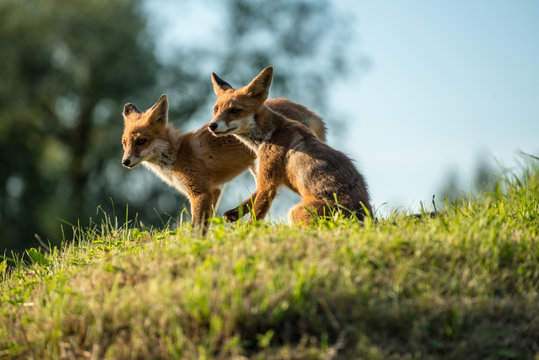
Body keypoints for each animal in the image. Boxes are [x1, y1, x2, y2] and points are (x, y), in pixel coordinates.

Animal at [121, 93, 326, 231]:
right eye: (124, 143)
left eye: (141, 141)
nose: (125, 161)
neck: (176, 154)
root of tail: (304, 109)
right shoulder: (215, 191)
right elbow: (204, 224)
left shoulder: (201, 192)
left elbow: (197, 228)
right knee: (262, 188)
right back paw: (236, 212)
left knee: (268, 188)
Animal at [209, 66, 374, 224]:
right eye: (215, 109)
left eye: (235, 110)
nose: (212, 125)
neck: (270, 134)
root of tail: (364, 218)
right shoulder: (268, 176)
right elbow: (253, 197)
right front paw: (234, 213)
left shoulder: (268, 182)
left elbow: (255, 215)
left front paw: (248, 230)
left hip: (295, 213)